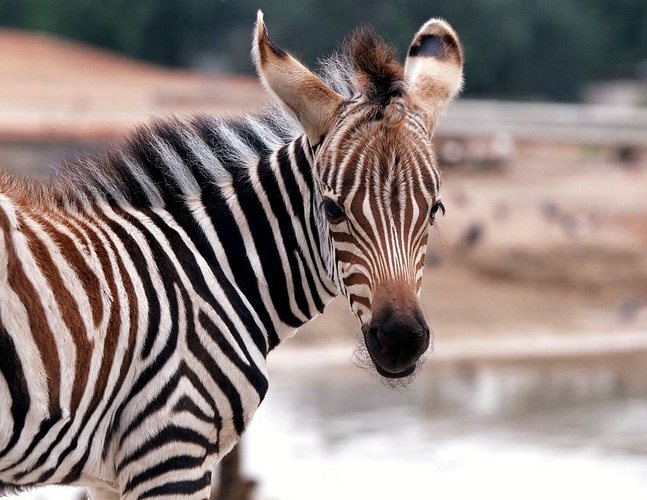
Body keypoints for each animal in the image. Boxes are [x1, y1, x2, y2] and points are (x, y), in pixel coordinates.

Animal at [1, 10, 466, 500]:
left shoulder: (113, 475)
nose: (401, 341)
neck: (210, 269)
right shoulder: (171, 444)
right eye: (331, 208)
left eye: (435, 209)